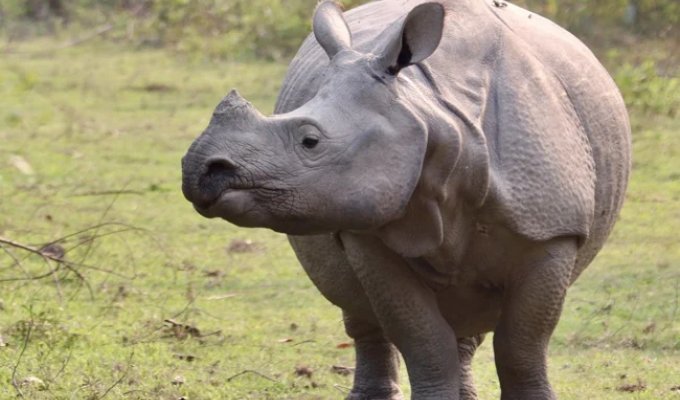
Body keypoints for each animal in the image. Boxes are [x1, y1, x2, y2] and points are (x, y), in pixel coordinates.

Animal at [181, 0, 631, 398]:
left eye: (310, 141)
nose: (199, 170)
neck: (435, 112)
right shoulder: (367, 229)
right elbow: (423, 339)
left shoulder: (552, 230)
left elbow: (522, 343)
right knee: (365, 313)